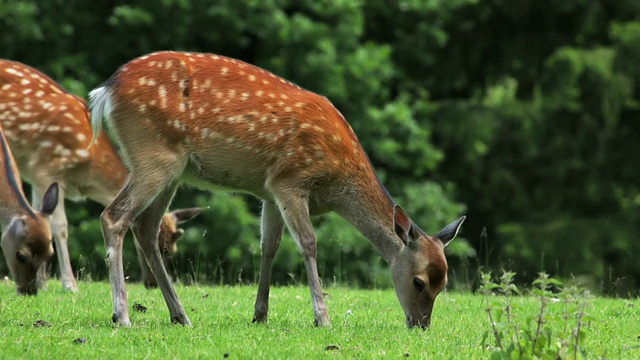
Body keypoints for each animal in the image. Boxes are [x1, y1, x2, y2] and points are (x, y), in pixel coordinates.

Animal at [89, 50, 464, 330]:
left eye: (444, 283)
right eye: (419, 282)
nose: (421, 324)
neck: (336, 186)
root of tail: (104, 92)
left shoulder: (269, 192)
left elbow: (269, 246)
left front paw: (260, 314)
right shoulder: (290, 180)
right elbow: (309, 243)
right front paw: (322, 318)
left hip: (171, 171)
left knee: (145, 227)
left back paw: (180, 315)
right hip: (153, 154)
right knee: (114, 216)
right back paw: (122, 315)